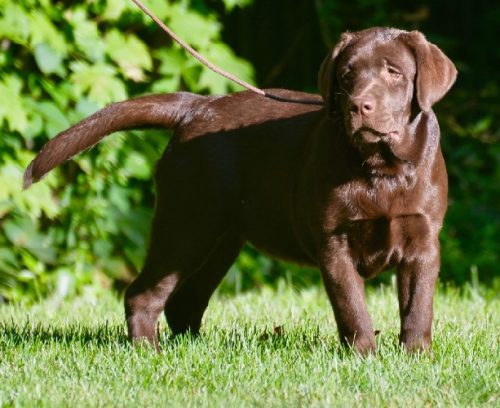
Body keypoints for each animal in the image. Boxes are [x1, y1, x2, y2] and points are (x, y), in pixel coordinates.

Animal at [26, 27, 458, 354]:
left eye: (394, 72)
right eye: (348, 75)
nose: (359, 106)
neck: (383, 168)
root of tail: (196, 107)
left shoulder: (423, 242)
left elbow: (418, 306)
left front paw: (416, 357)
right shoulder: (334, 243)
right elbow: (352, 308)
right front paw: (365, 357)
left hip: (219, 240)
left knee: (184, 300)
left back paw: (194, 349)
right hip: (186, 225)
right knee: (142, 294)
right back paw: (149, 351)